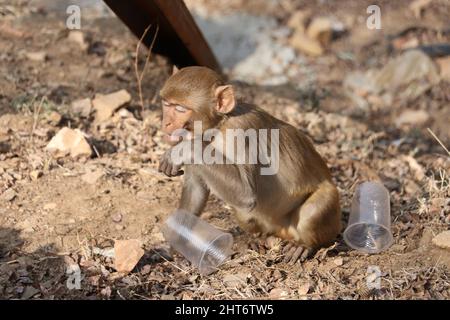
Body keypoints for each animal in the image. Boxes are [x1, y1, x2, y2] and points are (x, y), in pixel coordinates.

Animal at [158, 66, 342, 264]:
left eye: (180, 109)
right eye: (166, 105)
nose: (166, 122)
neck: (219, 125)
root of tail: (282, 231)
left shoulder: (239, 132)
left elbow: (245, 194)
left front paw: (181, 151)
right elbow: (196, 190)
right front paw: (177, 244)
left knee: (313, 210)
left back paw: (304, 245)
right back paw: (257, 239)